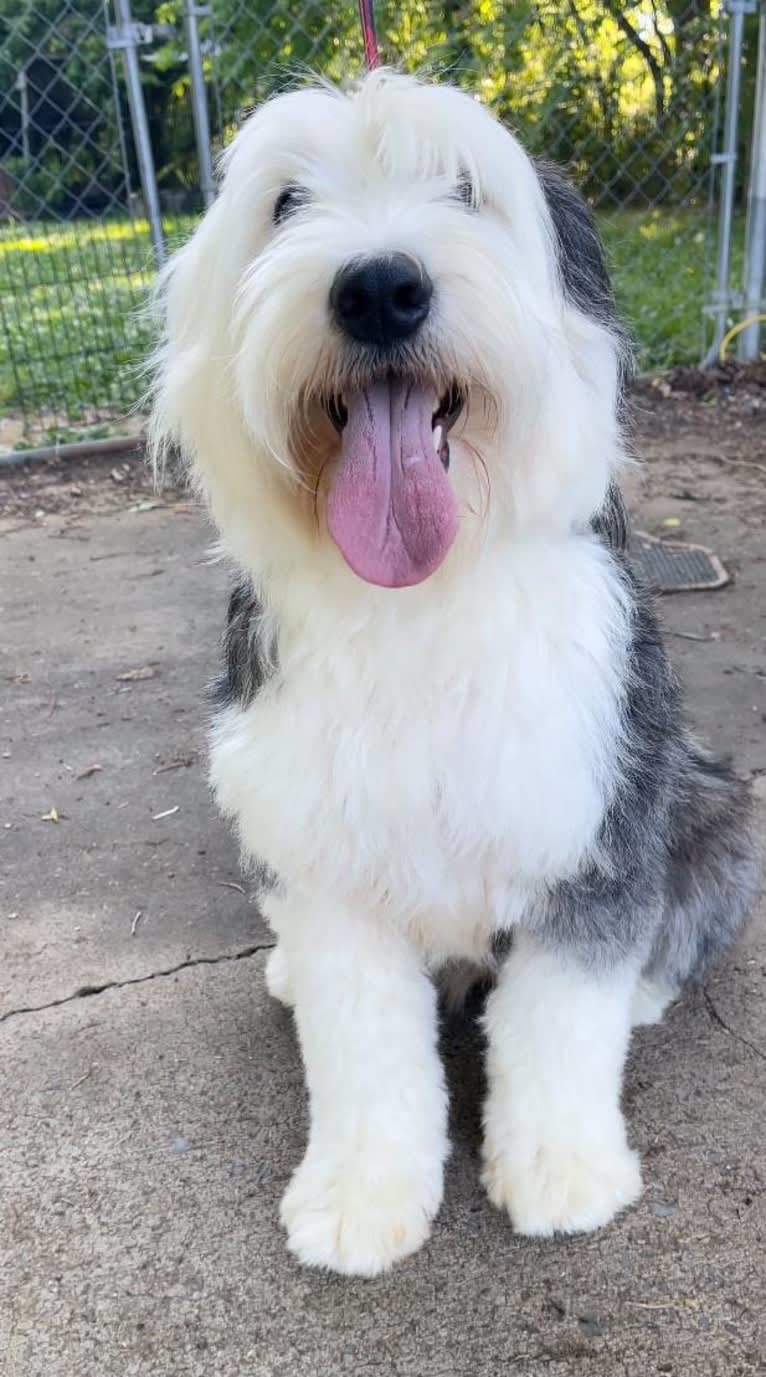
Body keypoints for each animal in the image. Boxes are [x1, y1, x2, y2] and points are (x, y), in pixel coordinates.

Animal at [146, 72, 754, 1277]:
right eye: (286, 203)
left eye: (467, 189)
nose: (379, 289)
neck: (419, 599)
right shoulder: (325, 862)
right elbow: (361, 1045)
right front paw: (360, 1193)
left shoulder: (591, 825)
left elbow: (561, 1018)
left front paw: (562, 1167)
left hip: (708, 799)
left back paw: (648, 992)